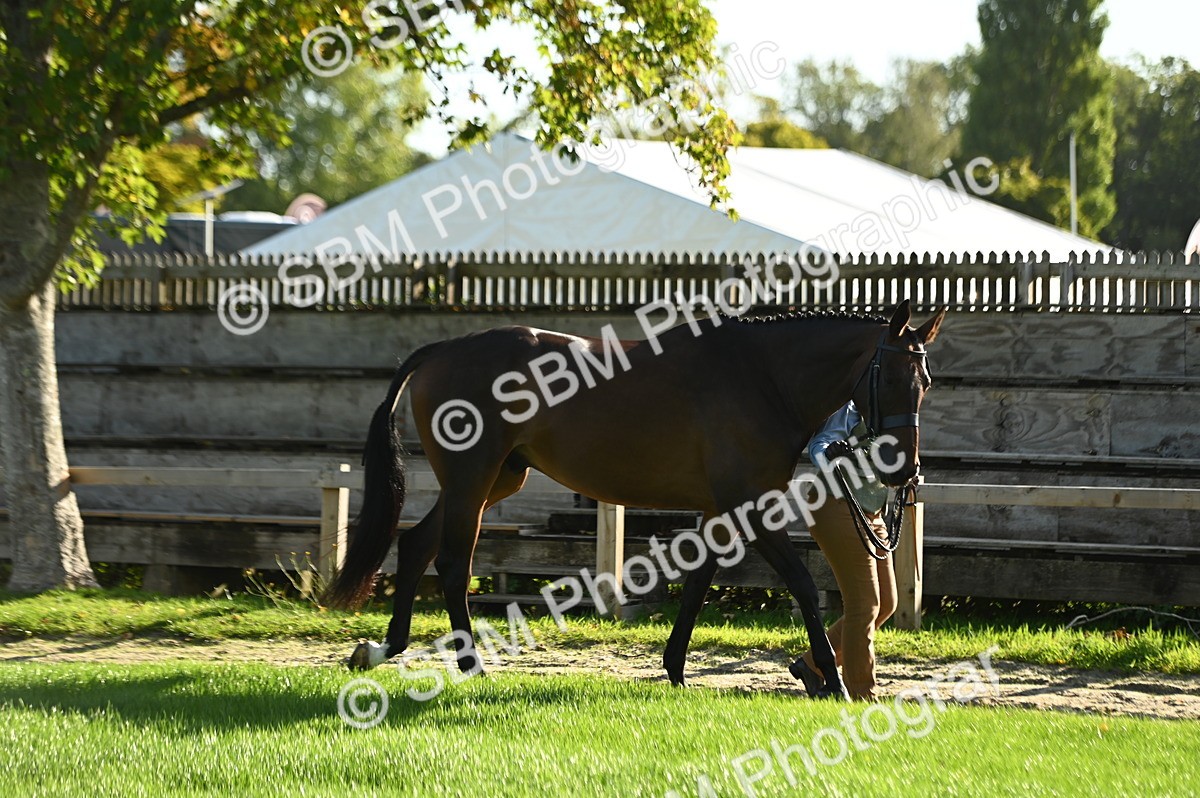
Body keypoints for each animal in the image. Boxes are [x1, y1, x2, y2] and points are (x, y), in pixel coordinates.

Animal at [327, 299, 946, 699]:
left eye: (926, 382)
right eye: (892, 377)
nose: (905, 469)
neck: (761, 376)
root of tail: (443, 350)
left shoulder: (721, 509)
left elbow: (698, 583)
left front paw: (675, 671)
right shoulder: (751, 504)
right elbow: (801, 584)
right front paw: (834, 680)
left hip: (496, 479)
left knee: (415, 546)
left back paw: (383, 650)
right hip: (472, 479)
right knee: (454, 563)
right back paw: (471, 666)